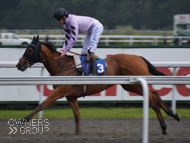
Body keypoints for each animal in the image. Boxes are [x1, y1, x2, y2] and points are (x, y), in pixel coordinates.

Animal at [15, 35, 180, 135]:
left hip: (135, 84)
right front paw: (77, 133)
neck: (63, 66)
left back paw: (165, 125)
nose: (19, 65)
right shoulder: (71, 96)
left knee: (152, 100)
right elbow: (77, 115)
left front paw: (22, 120)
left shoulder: (60, 91)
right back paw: (172, 117)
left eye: (29, 49)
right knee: (155, 95)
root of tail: (138, 56)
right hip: (130, 85)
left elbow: (41, 105)